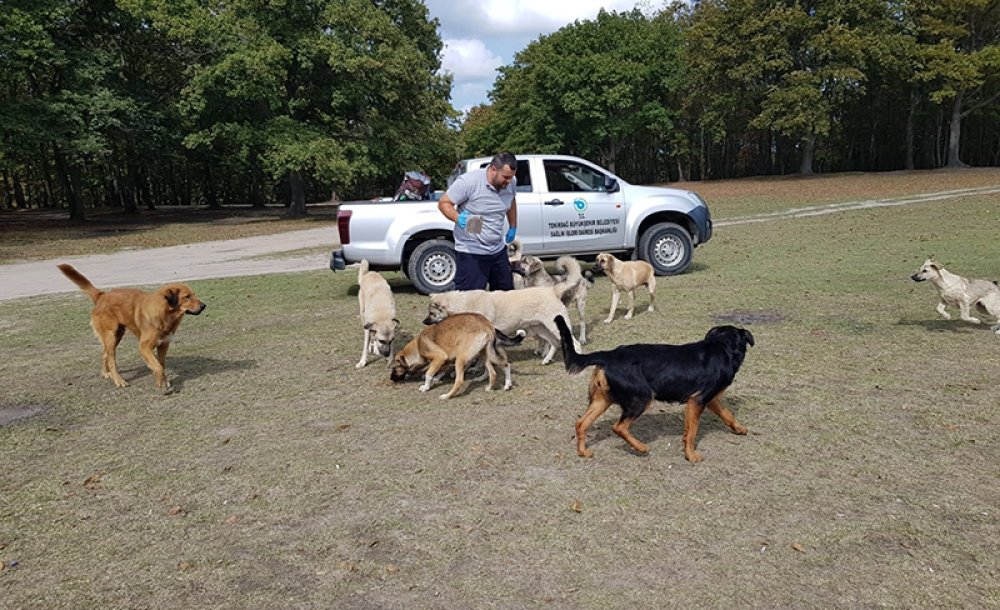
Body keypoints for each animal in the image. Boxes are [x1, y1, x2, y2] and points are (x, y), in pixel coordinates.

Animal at [556, 314, 752, 460]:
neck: (722, 347)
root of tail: (609, 355)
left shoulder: (709, 401)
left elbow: (726, 415)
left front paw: (740, 429)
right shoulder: (698, 400)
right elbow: (693, 431)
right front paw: (691, 456)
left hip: (602, 400)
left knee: (581, 423)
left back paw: (583, 452)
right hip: (641, 398)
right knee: (618, 427)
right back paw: (641, 447)